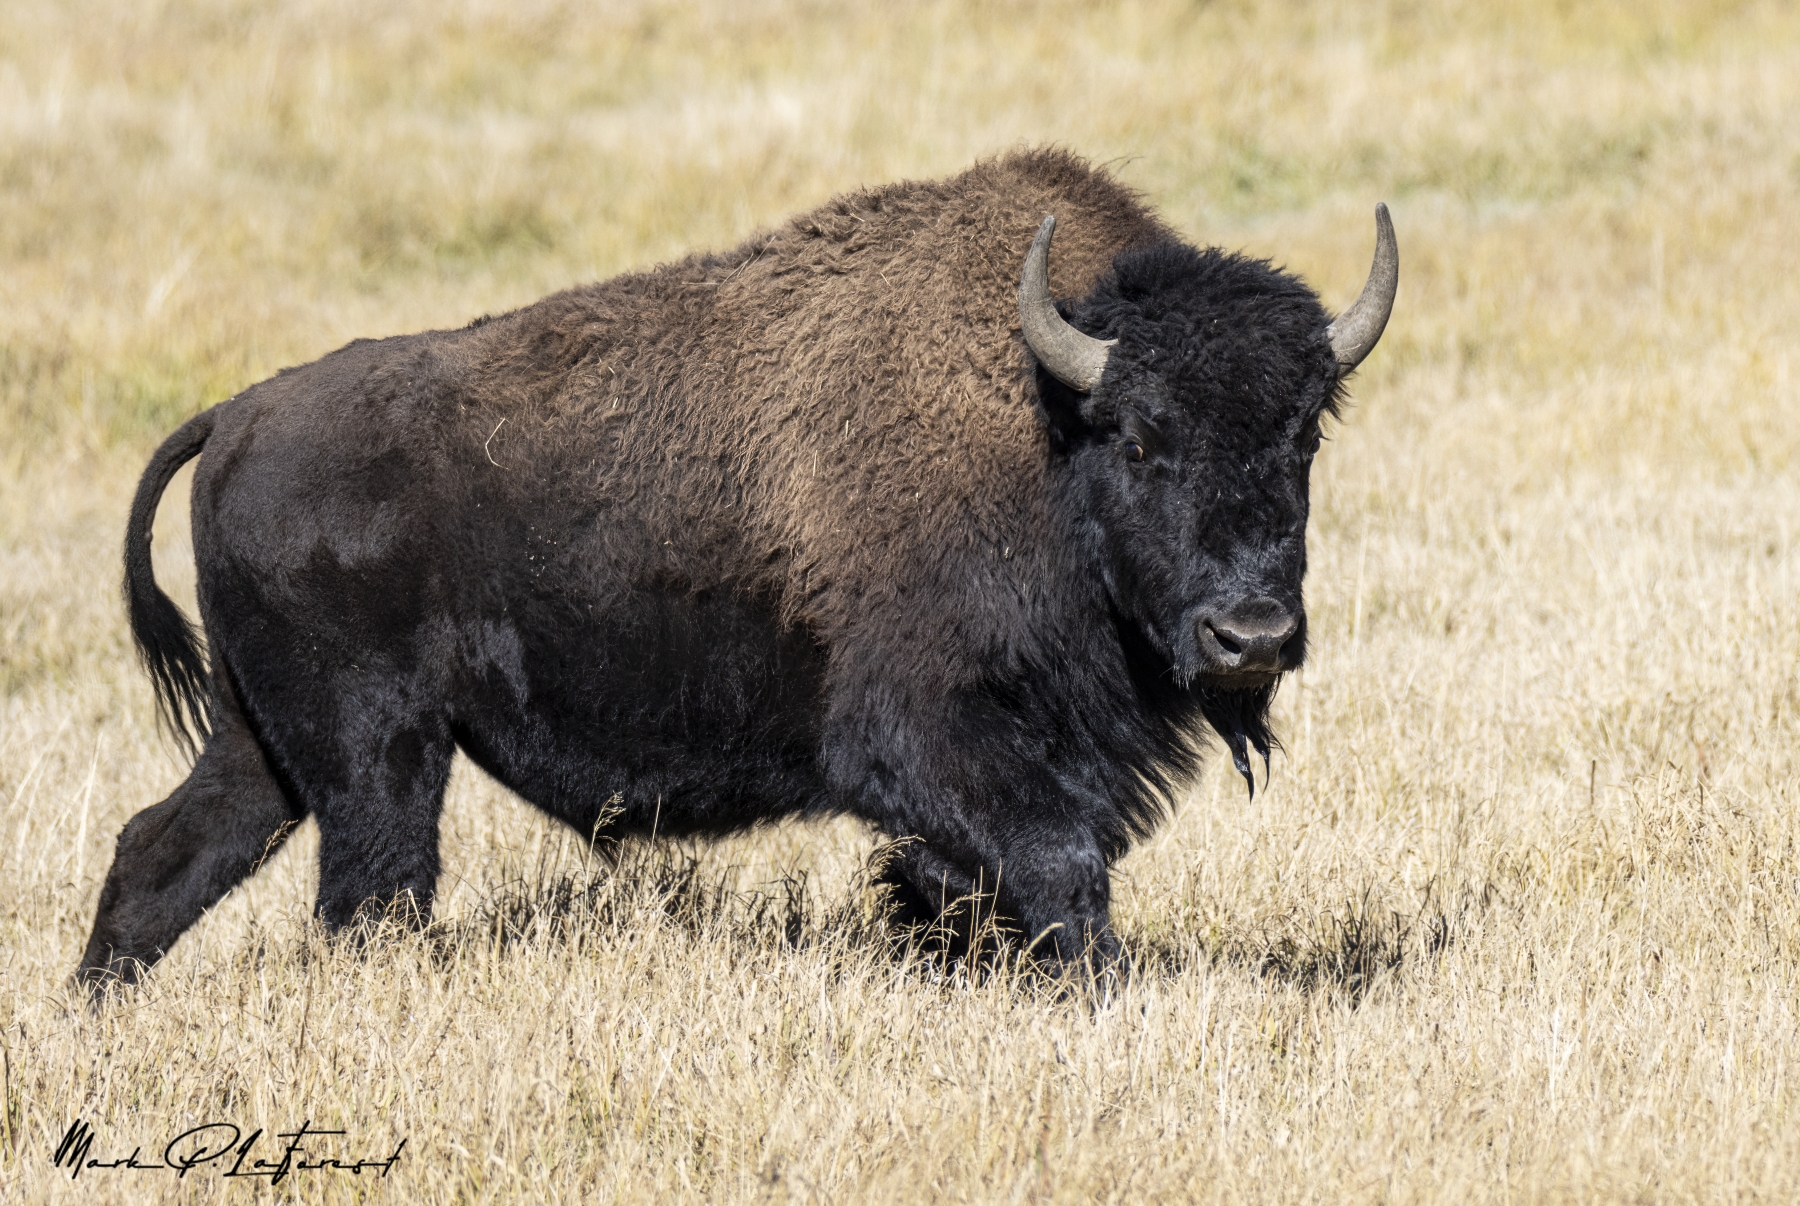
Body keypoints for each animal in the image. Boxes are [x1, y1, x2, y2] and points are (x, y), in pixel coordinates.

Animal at [77, 149, 1395, 989]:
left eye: (1304, 435)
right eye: (1139, 437)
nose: (1252, 636)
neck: (1040, 422)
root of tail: (237, 417)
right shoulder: (924, 740)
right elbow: (1059, 867)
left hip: (267, 743)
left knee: (164, 851)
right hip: (375, 751)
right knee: (370, 893)